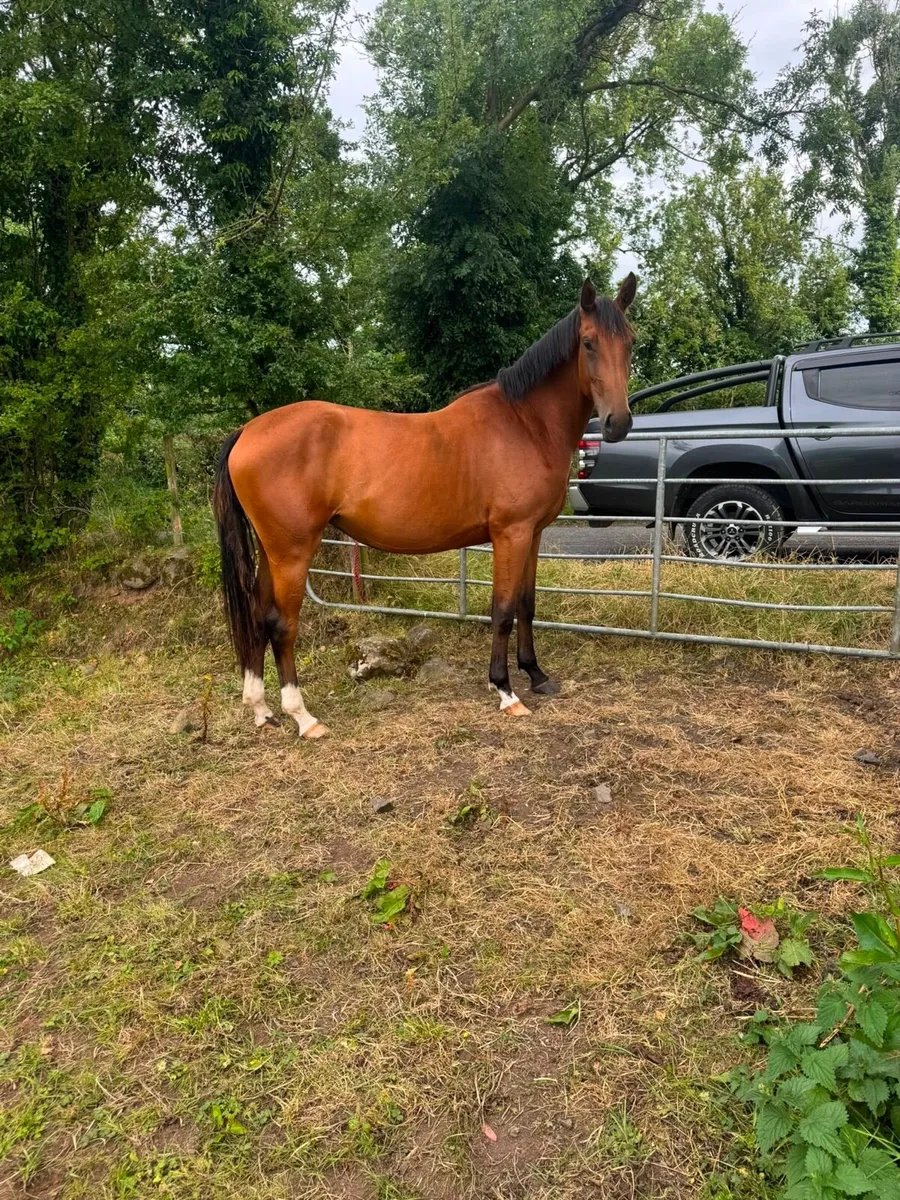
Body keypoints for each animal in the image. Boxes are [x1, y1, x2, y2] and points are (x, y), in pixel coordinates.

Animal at [213, 275, 636, 738]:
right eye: (588, 343)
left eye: (630, 342)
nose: (618, 422)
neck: (525, 424)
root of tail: (247, 431)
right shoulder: (511, 533)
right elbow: (503, 610)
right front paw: (505, 691)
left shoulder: (534, 533)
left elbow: (527, 604)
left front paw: (537, 675)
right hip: (291, 553)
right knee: (281, 624)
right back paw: (303, 718)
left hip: (270, 551)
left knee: (256, 614)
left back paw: (261, 709)